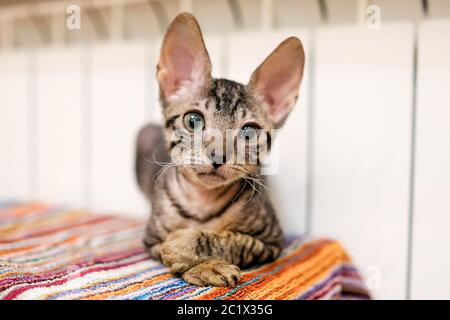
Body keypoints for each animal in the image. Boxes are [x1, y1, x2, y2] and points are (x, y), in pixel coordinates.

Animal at [136, 13, 306, 288]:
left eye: (249, 133)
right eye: (193, 120)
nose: (218, 156)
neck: (203, 202)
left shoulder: (272, 241)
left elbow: (237, 240)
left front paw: (186, 246)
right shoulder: (151, 239)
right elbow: (163, 251)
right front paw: (203, 267)